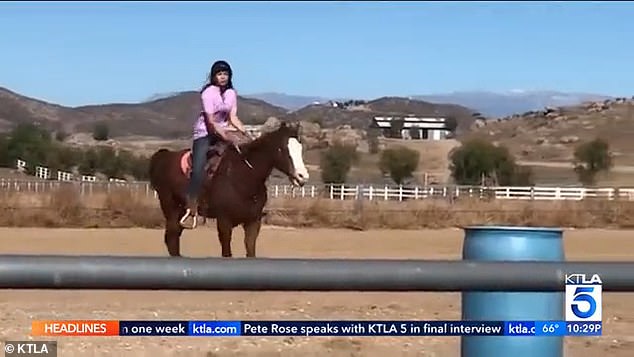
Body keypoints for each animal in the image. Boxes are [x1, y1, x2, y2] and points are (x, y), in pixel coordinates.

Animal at [147, 122, 308, 256]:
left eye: (300, 148)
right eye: (282, 149)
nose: (303, 176)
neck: (243, 177)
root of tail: (163, 156)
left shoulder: (253, 222)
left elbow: (250, 251)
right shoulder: (224, 222)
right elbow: (227, 253)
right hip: (170, 208)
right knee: (171, 238)